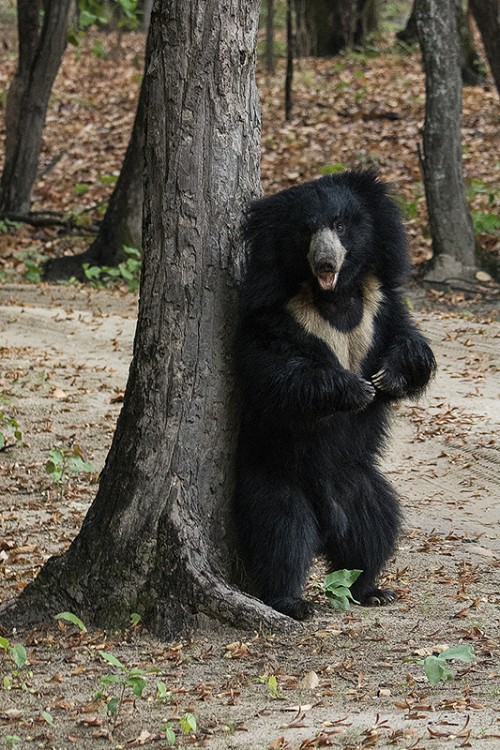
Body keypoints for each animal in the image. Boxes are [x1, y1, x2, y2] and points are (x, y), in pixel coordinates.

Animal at [232, 170, 436, 624]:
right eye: (306, 229)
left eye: (340, 224)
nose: (325, 262)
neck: (334, 295)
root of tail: (329, 518)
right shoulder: (276, 314)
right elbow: (276, 373)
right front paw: (355, 389)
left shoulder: (381, 304)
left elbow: (410, 342)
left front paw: (386, 378)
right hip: (275, 476)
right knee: (282, 534)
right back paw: (293, 601)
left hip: (357, 481)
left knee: (374, 527)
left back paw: (371, 589)